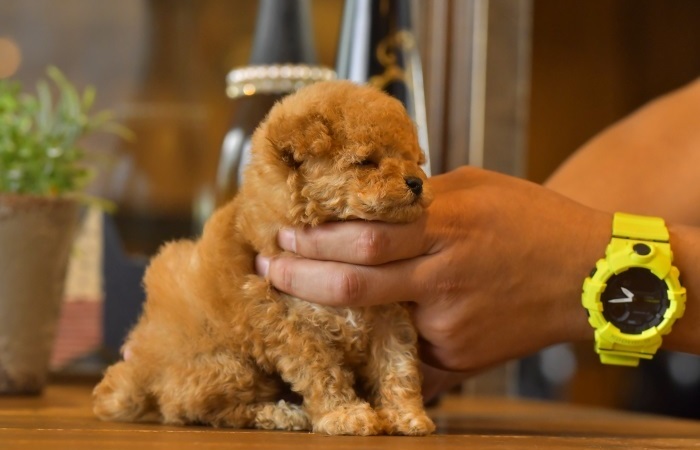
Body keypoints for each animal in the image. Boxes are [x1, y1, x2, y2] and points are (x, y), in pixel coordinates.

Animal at [91, 80, 432, 436]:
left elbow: (398, 366)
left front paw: (406, 414)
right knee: (210, 410)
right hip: (228, 367)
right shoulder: (290, 324)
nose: (416, 182)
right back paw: (283, 414)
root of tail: (144, 369)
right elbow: (323, 372)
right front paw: (344, 414)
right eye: (366, 162)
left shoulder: (388, 315)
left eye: (412, 160)